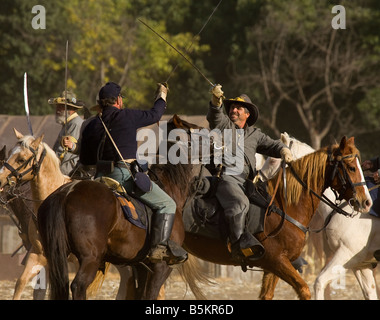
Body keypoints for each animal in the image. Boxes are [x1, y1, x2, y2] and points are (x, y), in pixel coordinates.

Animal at [149, 135, 372, 300]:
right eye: (351, 167)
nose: (366, 202)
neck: (283, 207)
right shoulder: (277, 261)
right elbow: (304, 290)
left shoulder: (273, 266)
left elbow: (267, 295)